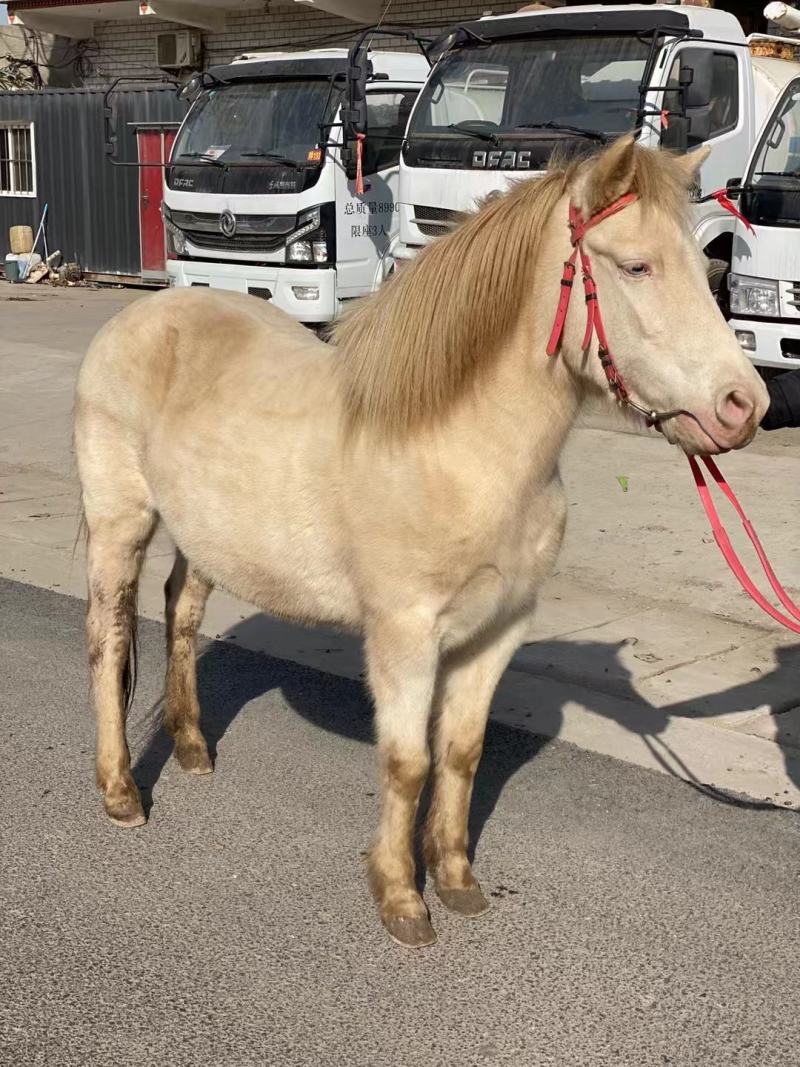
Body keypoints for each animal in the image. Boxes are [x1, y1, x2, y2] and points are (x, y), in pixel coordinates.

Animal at [74, 136, 768, 948]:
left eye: (699, 262)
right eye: (636, 267)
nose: (744, 405)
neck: (460, 448)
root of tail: (140, 314)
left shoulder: (497, 631)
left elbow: (460, 754)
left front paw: (457, 879)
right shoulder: (404, 636)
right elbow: (407, 762)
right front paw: (402, 897)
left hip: (204, 537)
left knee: (180, 614)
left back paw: (189, 747)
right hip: (121, 523)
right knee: (109, 639)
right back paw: (122, 791)